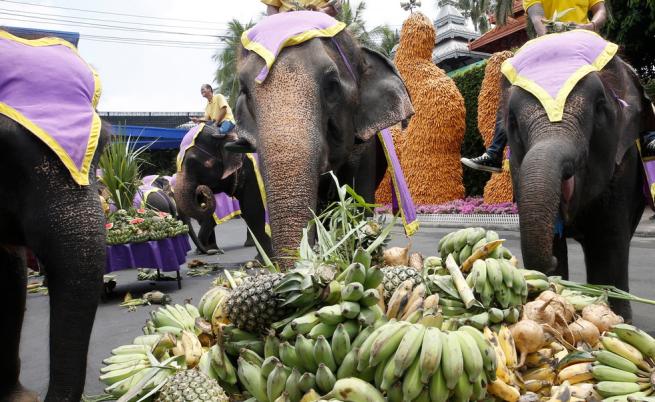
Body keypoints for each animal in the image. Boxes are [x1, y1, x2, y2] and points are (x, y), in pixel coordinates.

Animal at [502, 32, 655, 320]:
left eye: (599, 107)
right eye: (513, 122)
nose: (549, 264)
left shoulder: (624, 165)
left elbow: (607, 243)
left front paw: (618, 318)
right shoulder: (517, 167)